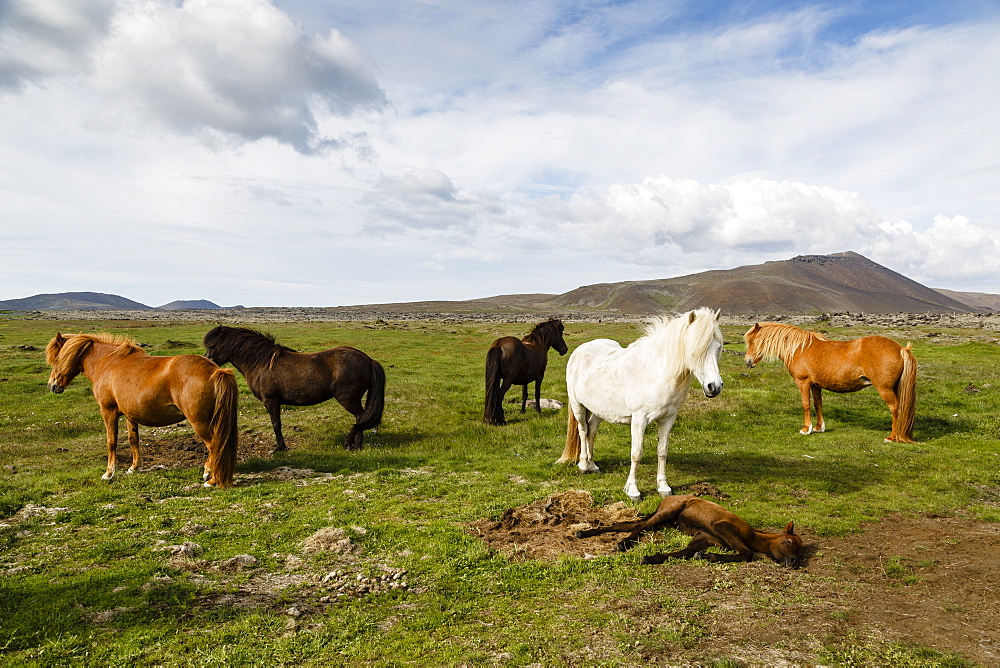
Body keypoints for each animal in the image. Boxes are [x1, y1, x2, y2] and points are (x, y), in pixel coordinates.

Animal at [47, 332, 241, 486]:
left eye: (57, 359)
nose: (52, 385)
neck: (107, 362)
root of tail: (215, 371)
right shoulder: (129, 415)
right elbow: (134, 440)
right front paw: (134, 467)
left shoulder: (108, 411)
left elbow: (111, 442)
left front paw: (108, 473)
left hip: (199, 422)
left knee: (214, 445)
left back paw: (211, 478)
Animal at [203, 326, 386, 452]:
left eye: (213, 345)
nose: (206, 362)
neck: (262, 363)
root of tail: (369, 361)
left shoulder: (271, 401)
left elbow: (276, 424)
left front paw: (280, 447)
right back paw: (356, 444)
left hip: (348, 399)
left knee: (361, 417)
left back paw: (351, 444)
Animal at [576, 494, 800, 568]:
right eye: (789, 541)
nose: (793, 561)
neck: (751, 534)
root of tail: (666, 499)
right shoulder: (721, 526)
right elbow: (747, 553)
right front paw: (707, 556)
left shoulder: (705, 537)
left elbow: (685, 552)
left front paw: (650, 558)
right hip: (669, 512)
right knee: (639, 526)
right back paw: (623, 543)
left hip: (665, 521)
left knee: (627, 524)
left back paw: (583, 533)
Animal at [744, 324, 916, 444]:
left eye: (752, 341)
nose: (747, 361)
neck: (799, 348)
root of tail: (900, 349)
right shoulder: (815, 385)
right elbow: (817, 405)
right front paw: (819, 427)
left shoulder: (803, 383)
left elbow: (806, 405)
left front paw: (806, 429)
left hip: (884, 389)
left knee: (895, 408)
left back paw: (892, 437)